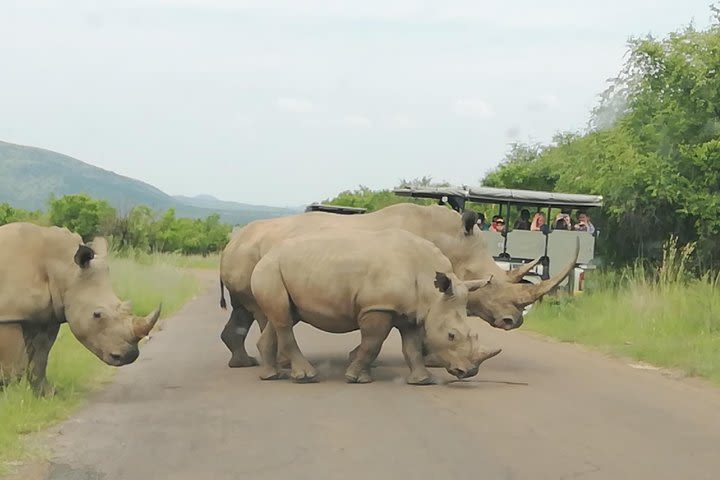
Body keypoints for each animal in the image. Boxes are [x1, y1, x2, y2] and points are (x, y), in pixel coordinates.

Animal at [0, 223, 160, 396]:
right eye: (97, 315)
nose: (128, 356)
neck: (66, 269)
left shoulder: (47, 317)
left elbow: (40, 357)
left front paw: (48, 394)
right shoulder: (8, 316)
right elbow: (13, 366)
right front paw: (9, 394)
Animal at [219, 202, 580, 368]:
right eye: (491, 283)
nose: (514, 321)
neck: (450, 243)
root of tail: (231, 240)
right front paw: (432, 360)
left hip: (249, 255)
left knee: (245, 311)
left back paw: (245, 363)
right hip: (259, 258)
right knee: (265, 311)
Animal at [250, 227, 498, 384]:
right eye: (451, 336)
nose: (469, 372)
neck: (430, 285)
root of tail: (266, 254)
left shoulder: (411, 314)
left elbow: (412, 347)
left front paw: (422, 381)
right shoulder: (378, 306)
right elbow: (372, 343)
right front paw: (355, 378)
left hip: (282, 270)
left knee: (283, 317)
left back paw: (270, 376)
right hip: (271, 269)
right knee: (284, 320)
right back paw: (307, 377)